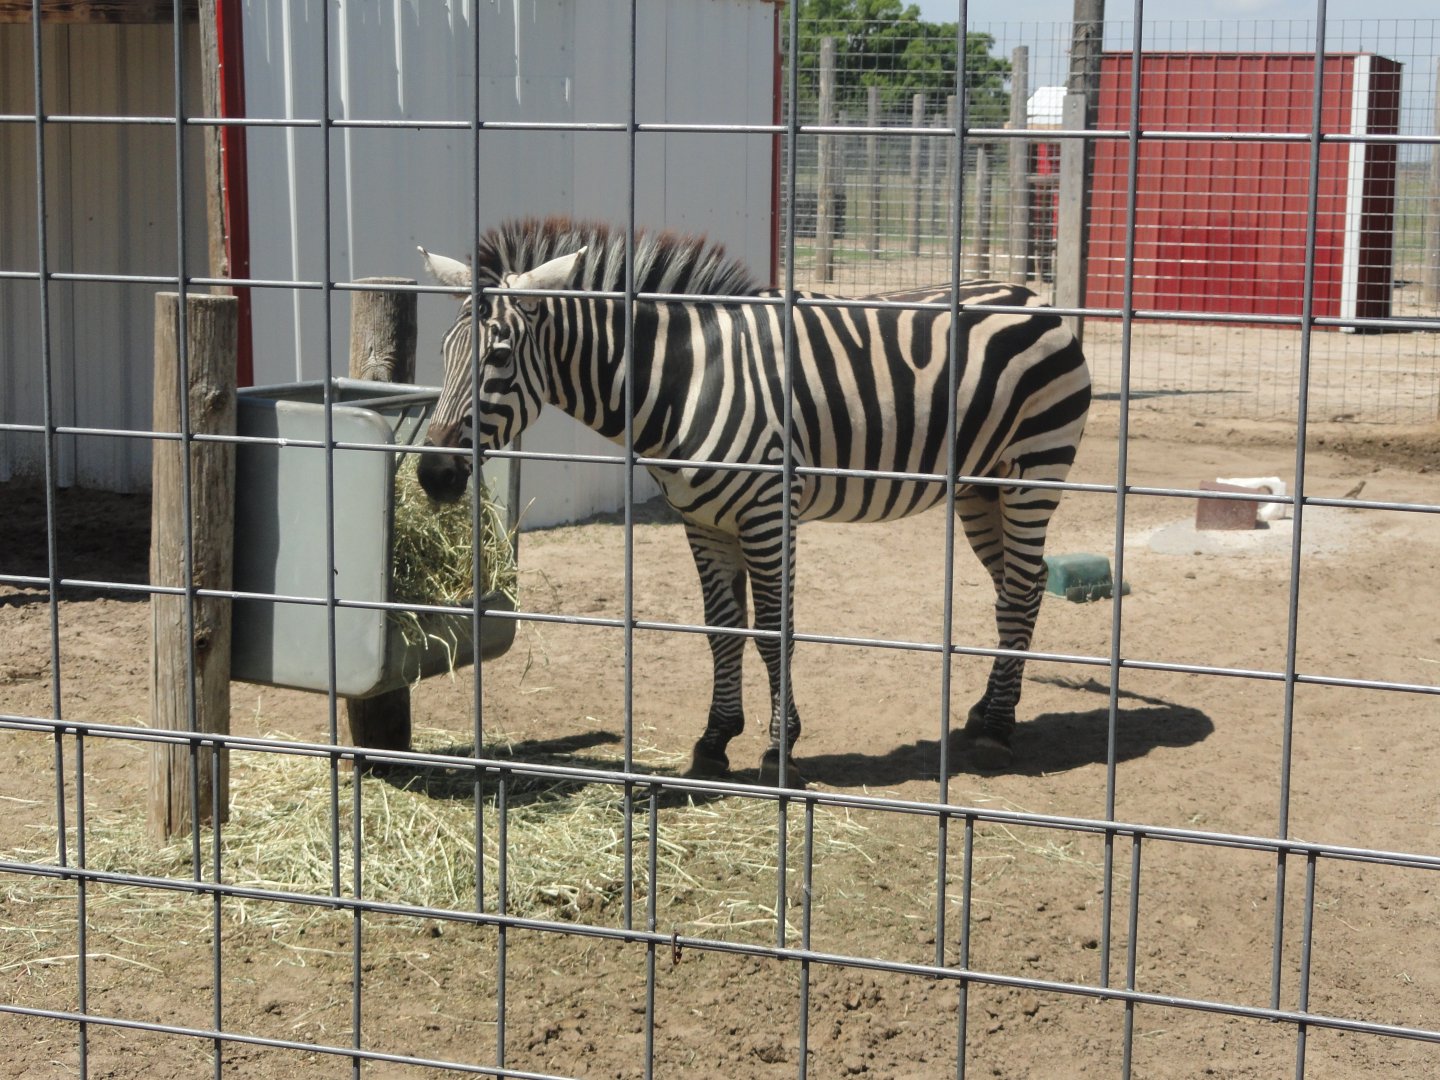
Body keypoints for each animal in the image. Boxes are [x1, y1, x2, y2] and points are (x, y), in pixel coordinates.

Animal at [416, 217, 1090, 785]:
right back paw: (986, 710)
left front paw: (778, 748)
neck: (683, 382)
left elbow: (770, 631)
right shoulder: (701, 520)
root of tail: (1031, 296)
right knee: (1019, 587)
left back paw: (998, 731)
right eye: (443, 352)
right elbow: (721, 628)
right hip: (981, 486)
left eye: (499, 357)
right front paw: (715, 741)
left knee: (1022, 589)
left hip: (1032, 472)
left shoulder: (767, 511)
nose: (434, 475)